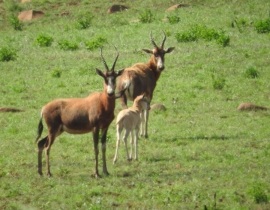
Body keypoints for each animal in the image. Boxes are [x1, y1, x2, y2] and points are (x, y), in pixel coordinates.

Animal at [34, 47, 124, 177]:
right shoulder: (95, 128)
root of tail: (44, 108)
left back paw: (40, 172)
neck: (101, 102)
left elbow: (103, 147)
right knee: (47, 147)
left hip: (59, 130)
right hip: (53, 130)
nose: (111, 93)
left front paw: (106, 171)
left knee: (41, 143)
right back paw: (49, 173)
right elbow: (96, 148)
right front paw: (96, 174)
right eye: (105, 78)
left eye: (114, 77)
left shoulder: (105, 127)